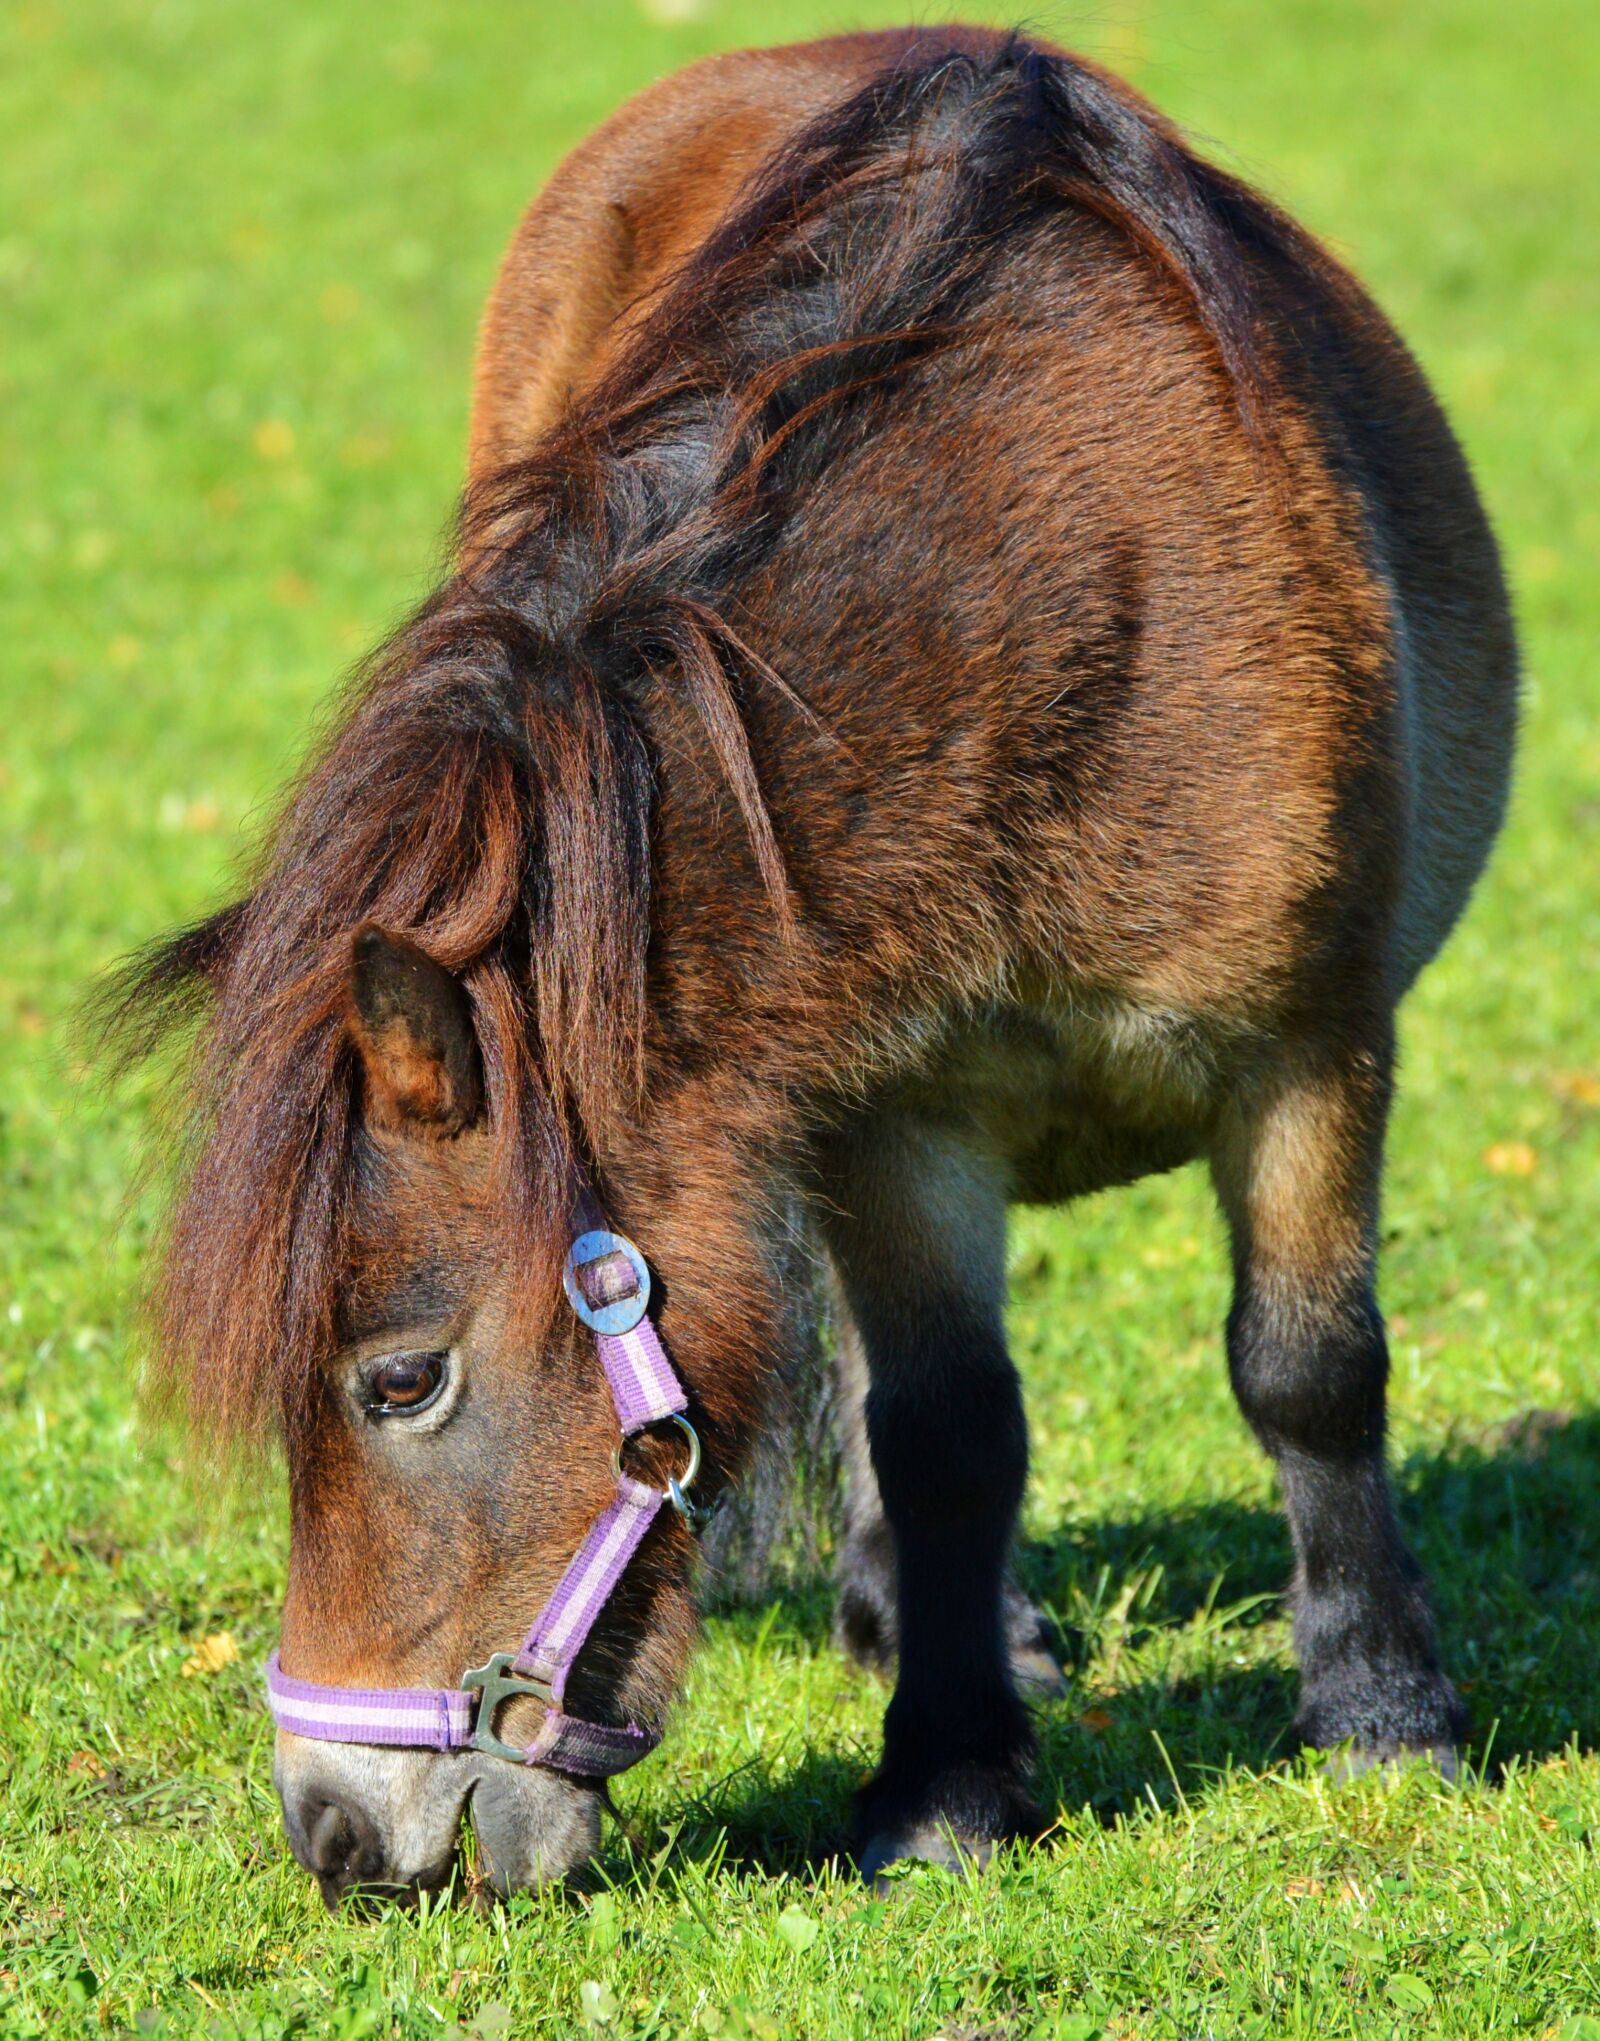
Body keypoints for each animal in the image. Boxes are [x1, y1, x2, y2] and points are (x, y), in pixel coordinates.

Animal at [113, 27, 1517, 1904]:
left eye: (399, 1379)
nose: (336, 1834)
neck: (1059, 604)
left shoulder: (1313, 1041)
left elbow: (1312, 1368)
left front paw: (1383, 1710)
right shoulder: (894, 1109)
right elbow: (942, 1429)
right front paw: (949, 1778)